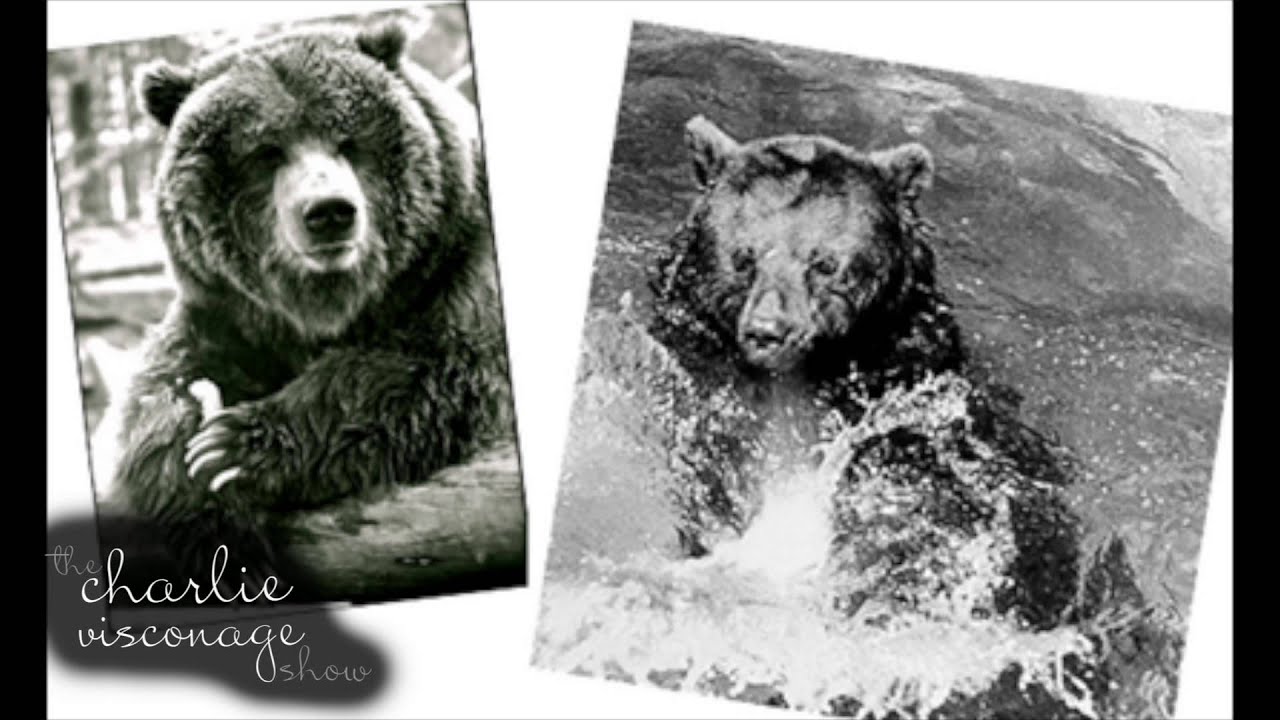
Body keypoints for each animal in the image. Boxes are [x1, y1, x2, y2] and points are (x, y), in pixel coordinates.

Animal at [102, 21, 514, 596]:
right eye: (266, 152)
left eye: (348, 141)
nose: (329, 212)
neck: (327, 308)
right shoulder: (230, 313)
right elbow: (159, 394)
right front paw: (215, 514)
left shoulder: (459, 269)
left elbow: (434, 367)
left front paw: (233, 444)